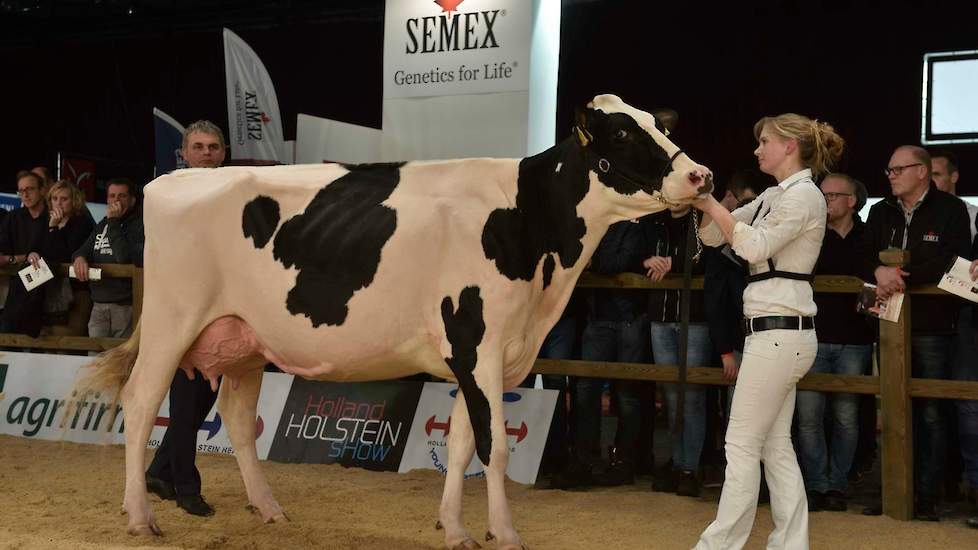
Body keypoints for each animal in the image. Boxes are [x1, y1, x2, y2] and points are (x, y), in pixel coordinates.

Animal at [80, 96, 708, 550]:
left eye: (657, 123)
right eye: (622, 133)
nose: (700, 175)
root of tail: (169, 180)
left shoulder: (486, 357)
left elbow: (461, 443)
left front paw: (455, 529)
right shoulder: (476, 343)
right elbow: (494, 448)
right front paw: (504, 533)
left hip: (245, 340)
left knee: (236, 418)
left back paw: (269, 509)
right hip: (174, 319)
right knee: (142, 402)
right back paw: (140, 517)